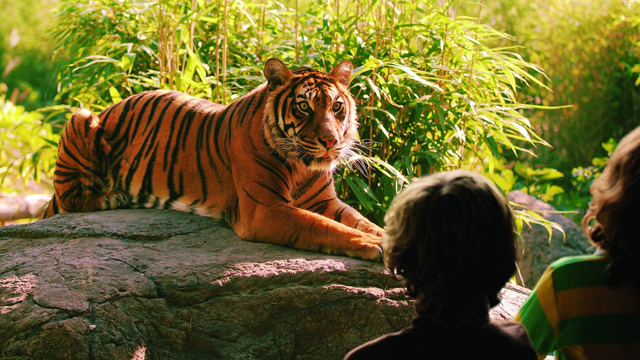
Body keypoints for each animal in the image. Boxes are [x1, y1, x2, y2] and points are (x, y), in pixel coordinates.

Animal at [43, 59, 384, 262]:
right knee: (70, 200)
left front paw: (382, 236)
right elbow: (323, 226)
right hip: (81, 117)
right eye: (303, 107)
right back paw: (114, 197)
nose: (331, 141)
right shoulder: (265, 209)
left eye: (337, 107)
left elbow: (360, 220)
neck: (301, 166)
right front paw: (370, 244)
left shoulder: (324, 201)